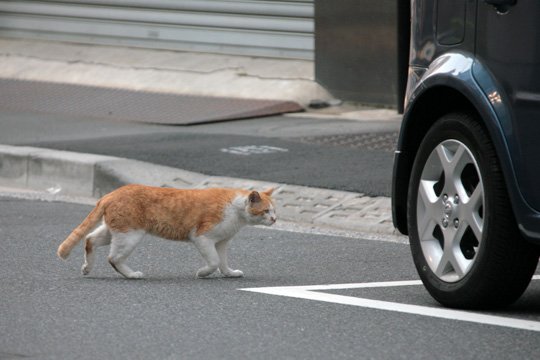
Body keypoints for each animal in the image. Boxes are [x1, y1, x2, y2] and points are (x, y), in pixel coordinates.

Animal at [57, 184, 276, 280]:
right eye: (266, 211)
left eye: (275, 210)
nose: (274, 219)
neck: (235, 210)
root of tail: (111, 194)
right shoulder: (202, 237)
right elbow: (213, 261)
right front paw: (203, 273)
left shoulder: (221, 242)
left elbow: (222, 261)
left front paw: (229, 273)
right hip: (130, 235)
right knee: (113, 258)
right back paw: (132, 275)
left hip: (114, 231)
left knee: (89, 239)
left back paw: (87, 268)